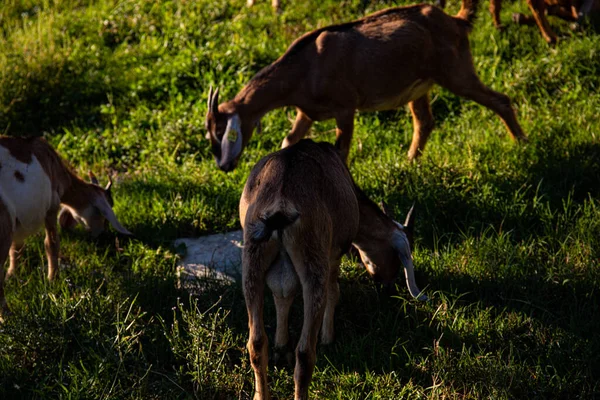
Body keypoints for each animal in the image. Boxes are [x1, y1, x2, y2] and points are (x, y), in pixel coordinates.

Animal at [0, 137, 131, 318]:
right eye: (103, 214)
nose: (101, 235)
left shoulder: (17, 223)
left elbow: (16, 248)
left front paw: (11, 275)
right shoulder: (52, 204)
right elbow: (51, 244)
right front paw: (52, 280)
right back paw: (7, 315)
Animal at [206, 0, 524, 171]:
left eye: (221, 131)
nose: (223, 166)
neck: (304, 67)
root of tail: (457, 22)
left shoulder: (345, 108)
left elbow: (341, 150)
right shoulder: (306, 112)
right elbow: (289, 140)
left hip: (456, 72)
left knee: (500, 100)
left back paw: (523, 144)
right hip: (419, 87)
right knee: (424, 122)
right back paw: (409, 163)